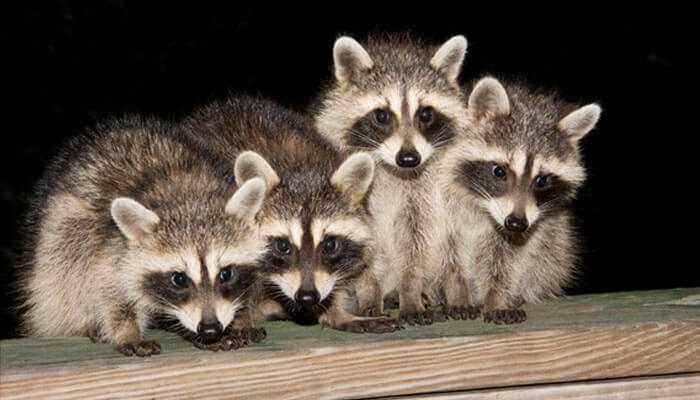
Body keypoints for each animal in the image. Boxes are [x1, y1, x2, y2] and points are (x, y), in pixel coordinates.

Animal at [18, 116, 270, 356]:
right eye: (179, 279)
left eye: (226, 273)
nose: (210, 329)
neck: (187, 192)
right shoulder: (109, 246)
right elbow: (110, 292)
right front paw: (127, 331)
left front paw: (240, 318)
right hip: (58, 240)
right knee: (62, 283)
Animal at [314, 34, 470, 324]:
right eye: (382, 115)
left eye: (425, 114)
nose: (409, 158)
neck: (396, 172)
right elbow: (366, 255)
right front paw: (369, 292)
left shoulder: (421, 199)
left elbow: (414, 246)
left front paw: (410, 291)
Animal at [442, 76, 600, 324]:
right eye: (499, 172)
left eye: (542, 180)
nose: (516, 223)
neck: (481, 205)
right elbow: (447, 256)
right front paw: (457, 291)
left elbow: (507, 260)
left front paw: (497, 296)